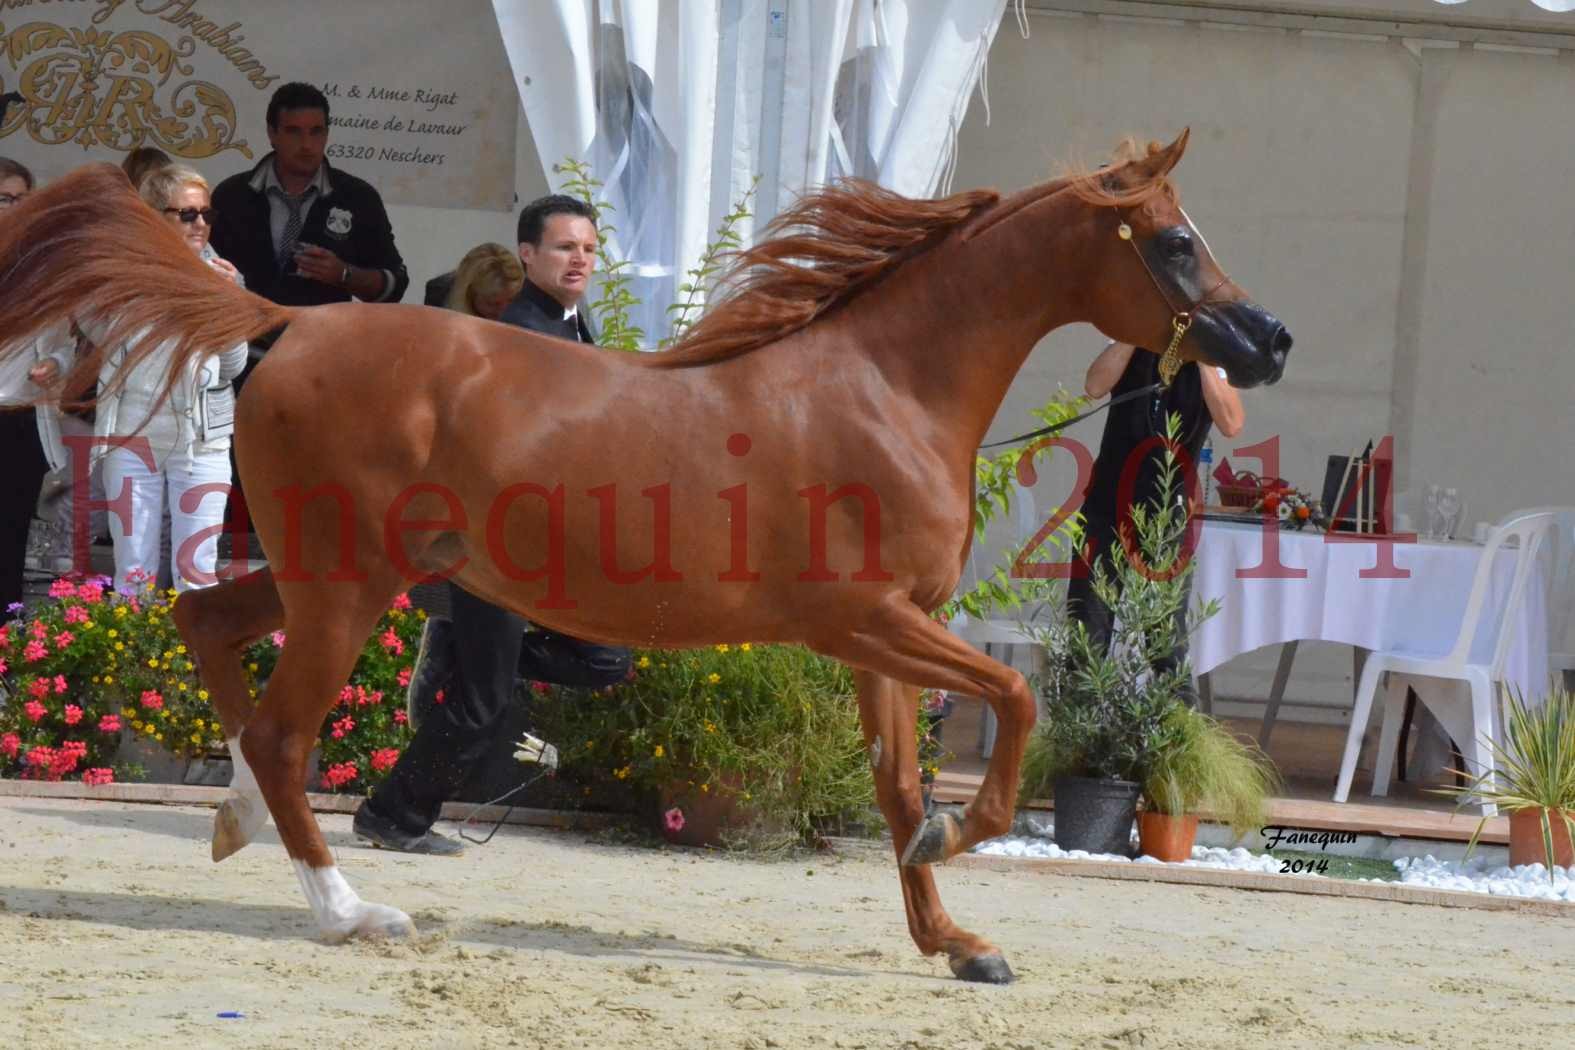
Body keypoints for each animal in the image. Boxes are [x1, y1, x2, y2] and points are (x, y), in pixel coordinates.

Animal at [0, 131, 1291, 988]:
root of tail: (291, 322)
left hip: (339, 576)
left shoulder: (884, 641)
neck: (886, 390)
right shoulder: (861, 618)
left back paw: (231, 823)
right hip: (348, 588)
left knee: (206, 628)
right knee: (280, 731)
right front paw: (960, 850)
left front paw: (958, 944)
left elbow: (895, 786)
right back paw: (353, 912)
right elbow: (1014, 706)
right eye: (1175, 241)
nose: (1268, 340)